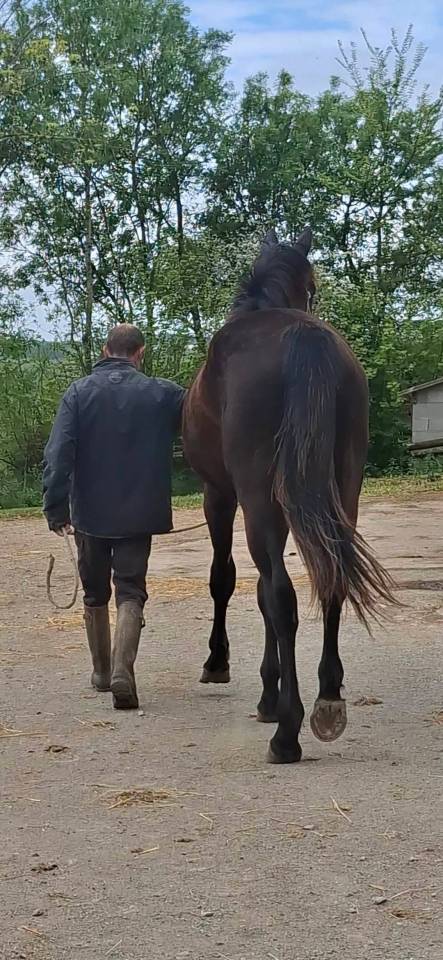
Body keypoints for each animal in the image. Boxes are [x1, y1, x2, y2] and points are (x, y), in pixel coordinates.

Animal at [182, 227, 395, 764]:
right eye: (314, 285)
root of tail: (304, 336)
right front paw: (270, 692)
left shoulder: (220, 495)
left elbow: (230, 580)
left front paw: (230, 670)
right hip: (344, 487)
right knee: (332, 576)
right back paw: (328, 700)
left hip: (257, 498)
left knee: (281, 595)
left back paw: (288, 732)